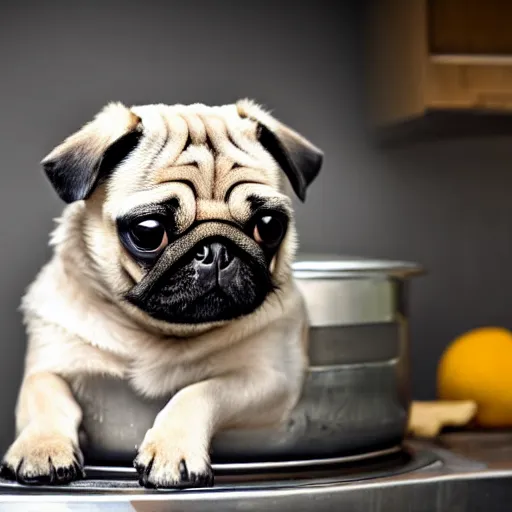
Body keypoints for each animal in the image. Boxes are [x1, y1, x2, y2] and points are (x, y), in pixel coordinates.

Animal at [0, 99, 322, 488]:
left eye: (269, 226)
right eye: (149, 232)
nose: (217, 251)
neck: (156, 332)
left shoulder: (268, 379)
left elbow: (198, 391)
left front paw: (172, 451)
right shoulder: (48, 366)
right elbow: (47, 397)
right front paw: (42, 447)